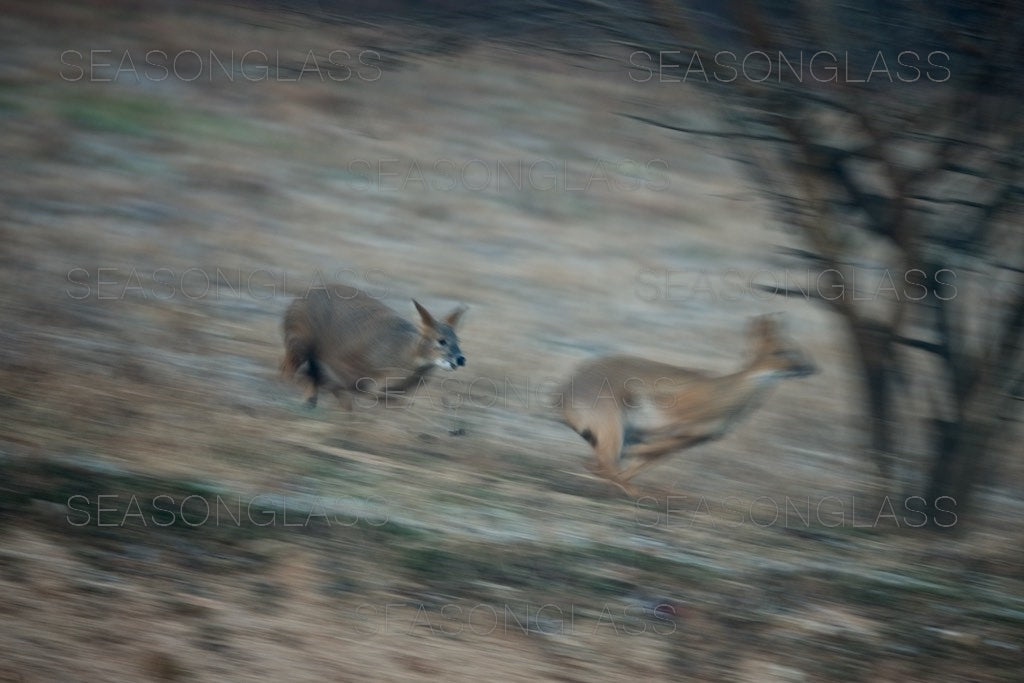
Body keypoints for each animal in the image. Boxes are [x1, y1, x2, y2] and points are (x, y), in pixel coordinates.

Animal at [284, 284, 468, 409]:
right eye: (441, 340)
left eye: (458, 341)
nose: (461, 359)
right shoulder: (346, 367)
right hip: (299, 342)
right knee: (291, 370)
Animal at [557, 315, 819, 497]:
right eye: (781, 351)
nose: (811, 368)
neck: (727, 397)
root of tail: (562, 396)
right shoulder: (673, 429)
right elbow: (636, 459)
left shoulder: (688, 440)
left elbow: (643, 461)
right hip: (613, 425)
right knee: (602, 463)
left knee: (602, 464)